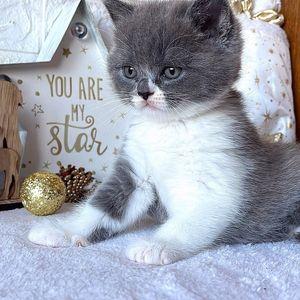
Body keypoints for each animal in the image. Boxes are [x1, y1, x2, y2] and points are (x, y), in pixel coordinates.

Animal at [27, 0, 300, 264]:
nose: (143, 92)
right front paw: (63, 230)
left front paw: (156, 246)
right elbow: (100, 206)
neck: (170, 127)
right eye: (129, 71)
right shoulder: (135, 175)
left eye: (171, 71)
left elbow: (188, 222)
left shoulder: (221, 182)